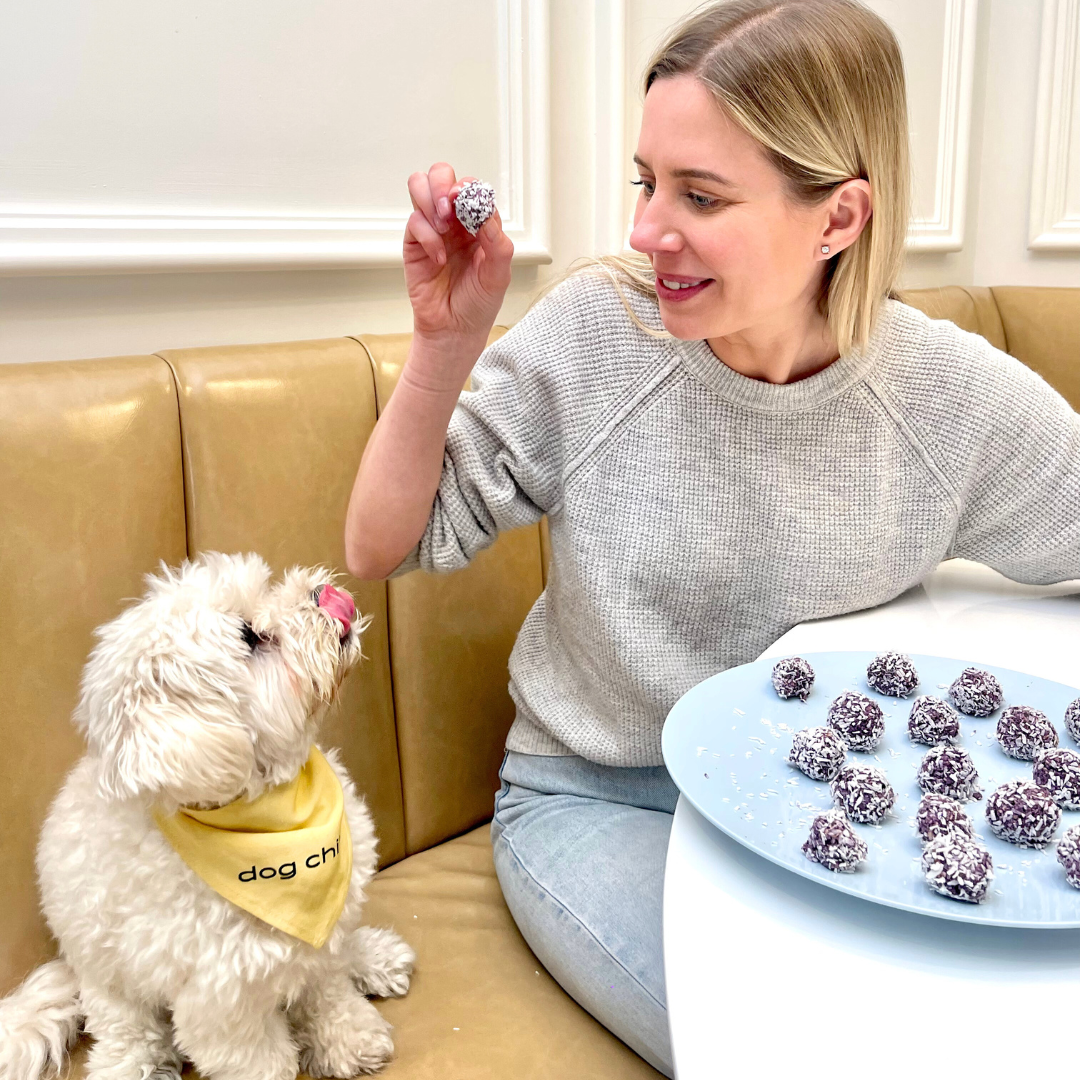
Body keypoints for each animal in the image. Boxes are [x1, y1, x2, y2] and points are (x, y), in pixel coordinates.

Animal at [0, 552, 414, 1075]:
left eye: (265, 587)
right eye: (249, 636)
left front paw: (352, 1041)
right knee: (125, 1033)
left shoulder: (320, 943)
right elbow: (260, 1059)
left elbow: (329, 994)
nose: (322, 595)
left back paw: (374, 957)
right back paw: (135, 1065)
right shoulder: (222, 1003)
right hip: (109, 982)